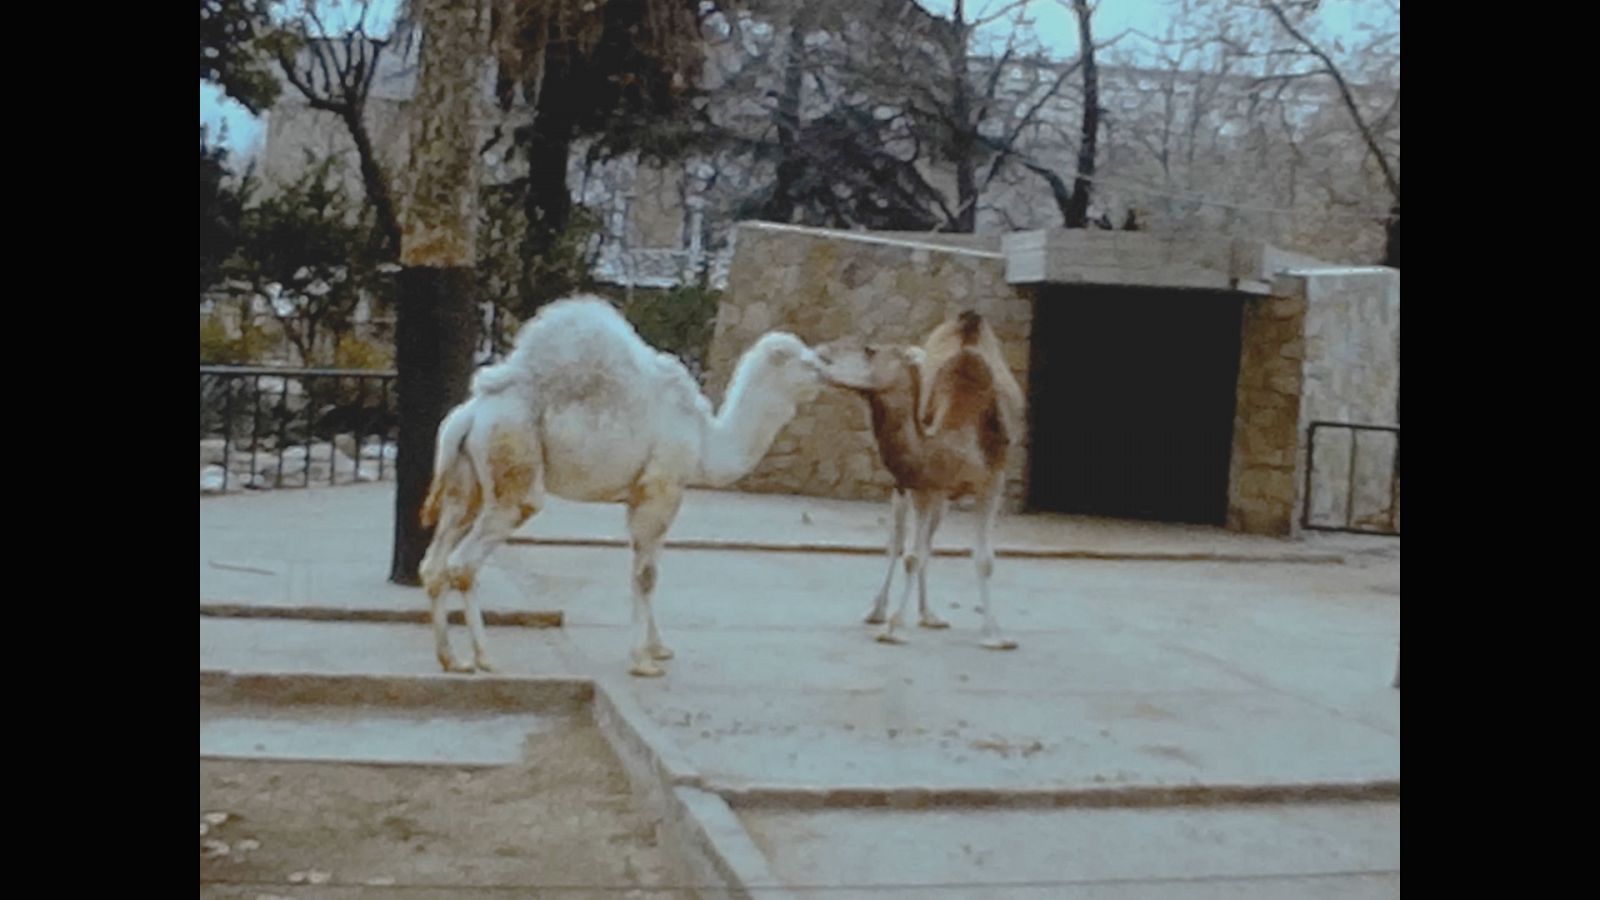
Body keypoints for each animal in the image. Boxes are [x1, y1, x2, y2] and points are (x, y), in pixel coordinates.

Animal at [419, 294, 819, 672]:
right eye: (804, 362)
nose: (825, 372)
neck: (706, 440)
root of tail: (471, 414)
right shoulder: (662, 489)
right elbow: (646, 576)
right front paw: (642, 661)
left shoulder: (645, 495)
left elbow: (646, 570)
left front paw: (658, 649)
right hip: (514, 459)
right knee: (465, 562)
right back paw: (485, 657)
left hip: (466, 482)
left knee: (435, 563)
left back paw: (451, 659)